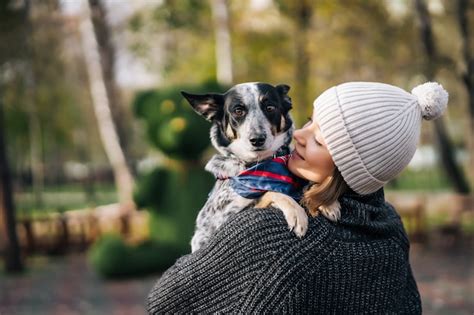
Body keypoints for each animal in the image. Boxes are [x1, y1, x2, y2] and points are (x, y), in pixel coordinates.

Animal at [181, 82, 312, 253]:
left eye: (270, 107)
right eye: (238, 111)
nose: (257, 139)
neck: (260, 164)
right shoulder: (218, 223)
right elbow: (271, 192)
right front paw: (296, 212)